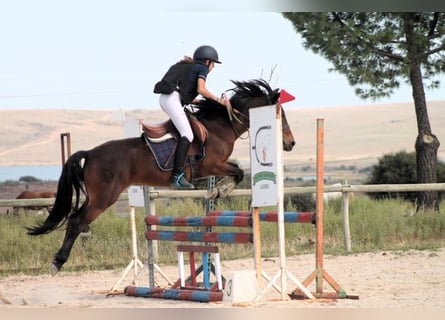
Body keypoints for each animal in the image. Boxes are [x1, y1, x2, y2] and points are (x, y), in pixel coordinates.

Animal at [26, 78, 294, 276]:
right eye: (279, 113)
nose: (290, 144)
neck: (220, 127)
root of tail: (90, 153)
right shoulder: (211, 165)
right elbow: (237, 171)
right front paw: (220, 190)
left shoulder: (215, 166)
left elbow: (237, 170)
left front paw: (216, 191)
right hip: (104, 198)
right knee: (76, 222)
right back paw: (57, 262)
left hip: (95, 197)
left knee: (75, 218)